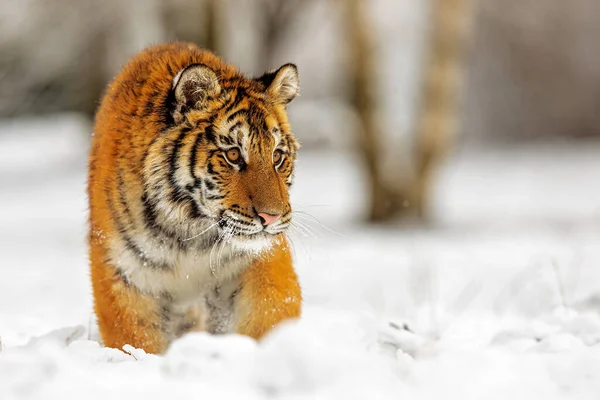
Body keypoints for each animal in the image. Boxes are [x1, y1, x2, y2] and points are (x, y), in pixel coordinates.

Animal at [86, 42, 302, 354]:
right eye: (233, 154)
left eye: (277, 156)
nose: (270, 217)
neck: (192, 232)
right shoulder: (125, 276)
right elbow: (135, 340)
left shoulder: (261, 258)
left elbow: (271, 311)